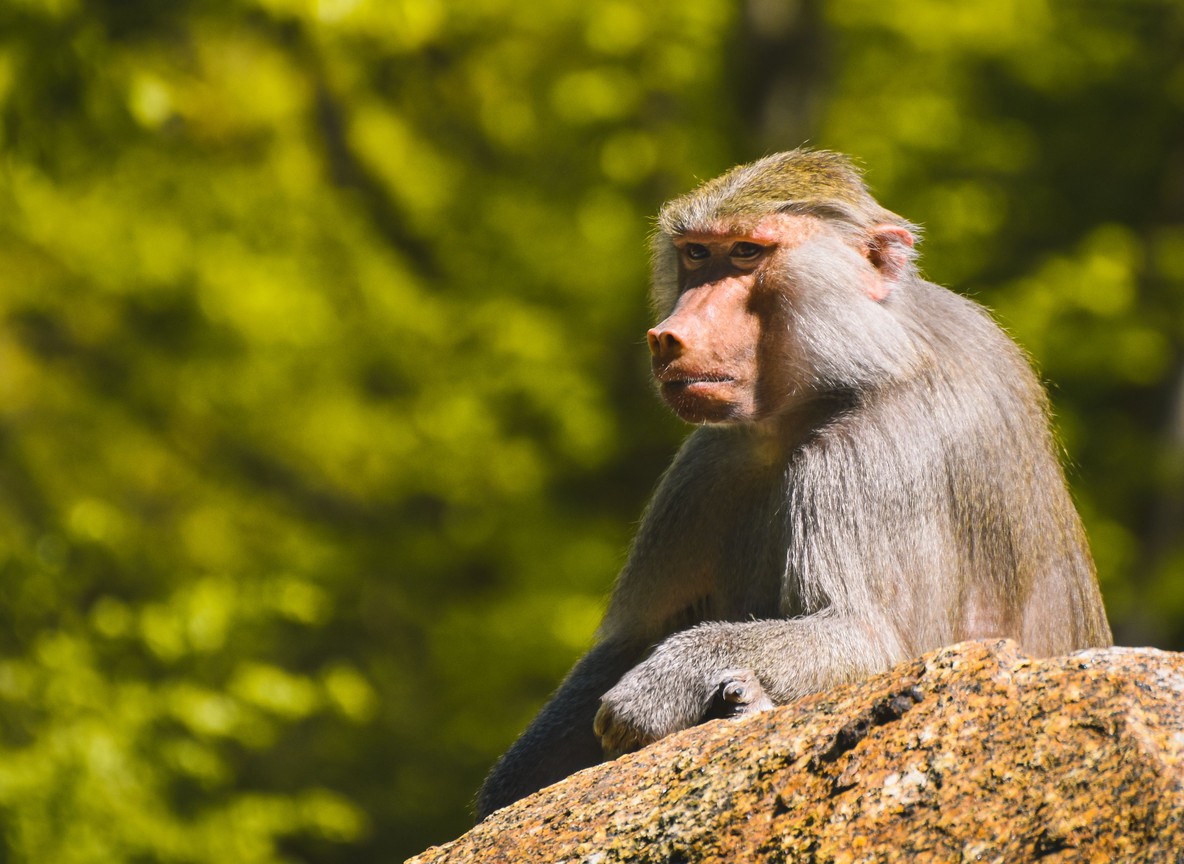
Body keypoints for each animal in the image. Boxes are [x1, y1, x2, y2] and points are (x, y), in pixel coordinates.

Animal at [475, 149, 1111, 819]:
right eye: (696, 254)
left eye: (746, 252)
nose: (668, 335)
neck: (856, 363)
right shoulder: (714, 460)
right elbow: (631, 640)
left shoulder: (877, 450)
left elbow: (867, 642)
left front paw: (667, 684)